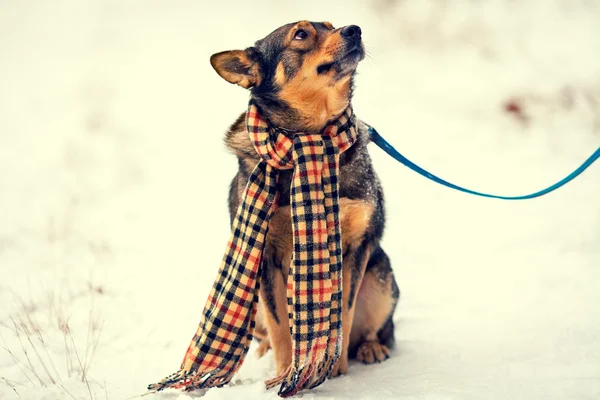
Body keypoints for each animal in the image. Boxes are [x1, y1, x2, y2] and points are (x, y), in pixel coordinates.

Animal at [210, 20, 398, 380]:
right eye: (300, 34)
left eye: (331, 25)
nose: (354, 29)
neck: (309, 138)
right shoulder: (265, 255)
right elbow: (280, 325)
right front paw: (285, 372)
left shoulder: (356, 244)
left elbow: (342, 312)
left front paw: (332, 366)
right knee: (263, 330)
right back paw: (264, 352)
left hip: (381, 277)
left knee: (379, 329)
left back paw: (370, 347)